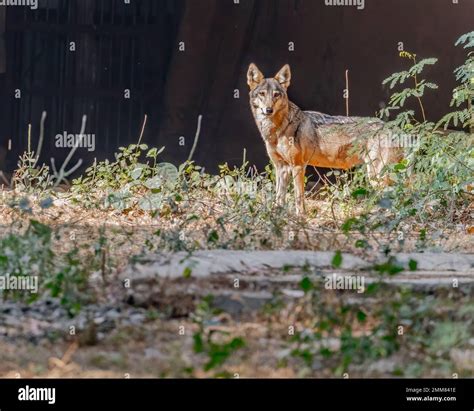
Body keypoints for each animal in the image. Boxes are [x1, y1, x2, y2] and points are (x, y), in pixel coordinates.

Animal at [246, 63, 402, 216]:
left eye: (276, 95)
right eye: (262, 94)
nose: (268, 110)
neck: (276, 130)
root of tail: (392, 127)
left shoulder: (298, 166)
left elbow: (298, 198)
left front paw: (300, 217)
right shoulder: (281, 167)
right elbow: (278, 198)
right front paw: (276, 217)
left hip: (377, 177)